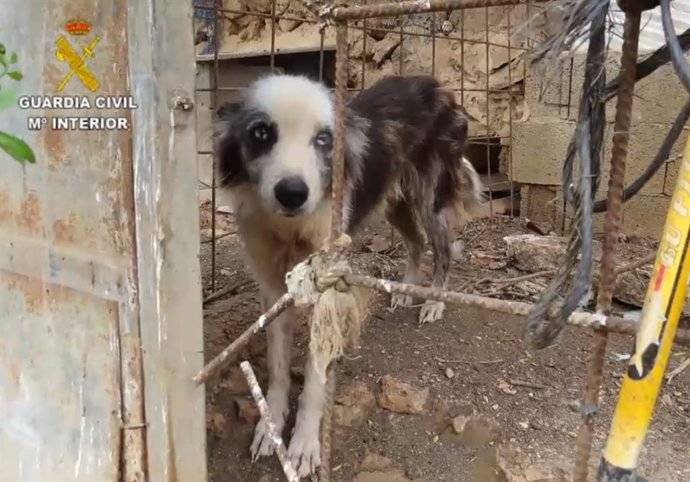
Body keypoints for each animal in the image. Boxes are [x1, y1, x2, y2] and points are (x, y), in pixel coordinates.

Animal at [212, 73, 486, 476]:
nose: (292, 193)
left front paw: (304, 445)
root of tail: (436, 85)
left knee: (443, 249)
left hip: (429, 197)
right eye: (261, 132)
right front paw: (271, 428)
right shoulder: (274, 288)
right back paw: (406, 289)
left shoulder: (326, 291)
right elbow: (277, 369)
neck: (291, 231)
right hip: (392, 199)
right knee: (416, 242)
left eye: (325, 140)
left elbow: (314, 379)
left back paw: (434, 300)